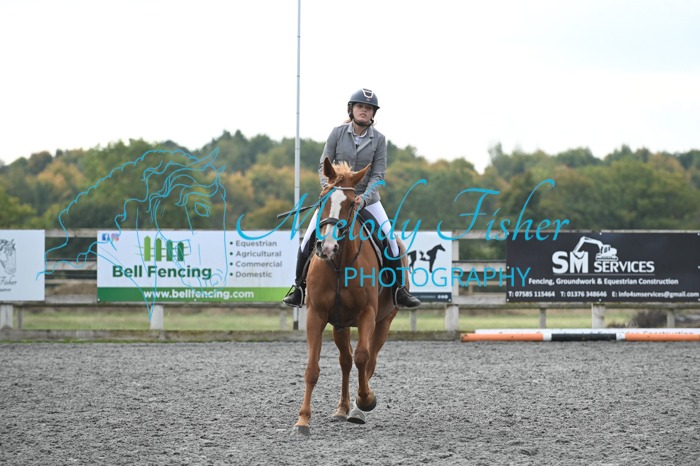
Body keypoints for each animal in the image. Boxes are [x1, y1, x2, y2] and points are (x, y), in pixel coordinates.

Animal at [293, 158, 409, 436]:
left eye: (349, 204)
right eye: (322, 200)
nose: (326, 247)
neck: (339, 264)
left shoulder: (367, 313)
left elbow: (363, 358)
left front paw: (366, 401)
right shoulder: (316, 314)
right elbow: (312, 368)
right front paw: (303, 420)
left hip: (384, 321)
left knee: (369, 361)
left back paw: (356, 409)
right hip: (340, 324)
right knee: (345, 361)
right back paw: (342, 408)